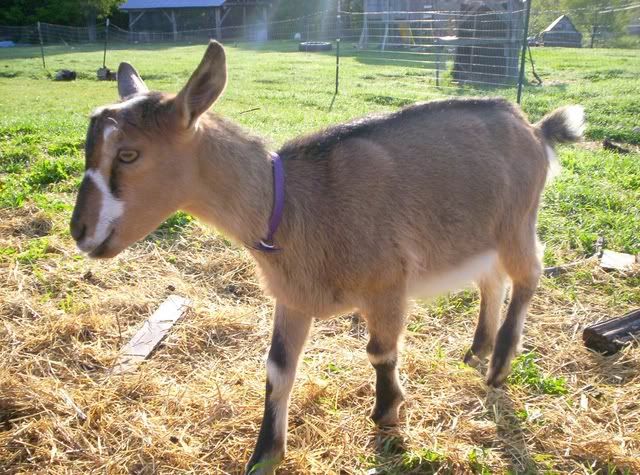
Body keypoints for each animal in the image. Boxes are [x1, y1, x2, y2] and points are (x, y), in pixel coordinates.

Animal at [70, 41, 584, 474]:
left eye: (129, 154)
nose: (80, 232)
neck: (295, 205)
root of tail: (535, 128)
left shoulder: (387, 284)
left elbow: (380, 351)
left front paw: (387, 414)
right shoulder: (293, 298)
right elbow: (278, 369)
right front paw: (265, 455)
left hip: (518, 221)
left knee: (529, 274)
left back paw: (498, 366)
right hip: (480, 234)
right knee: (491, 280)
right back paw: (478, 348)